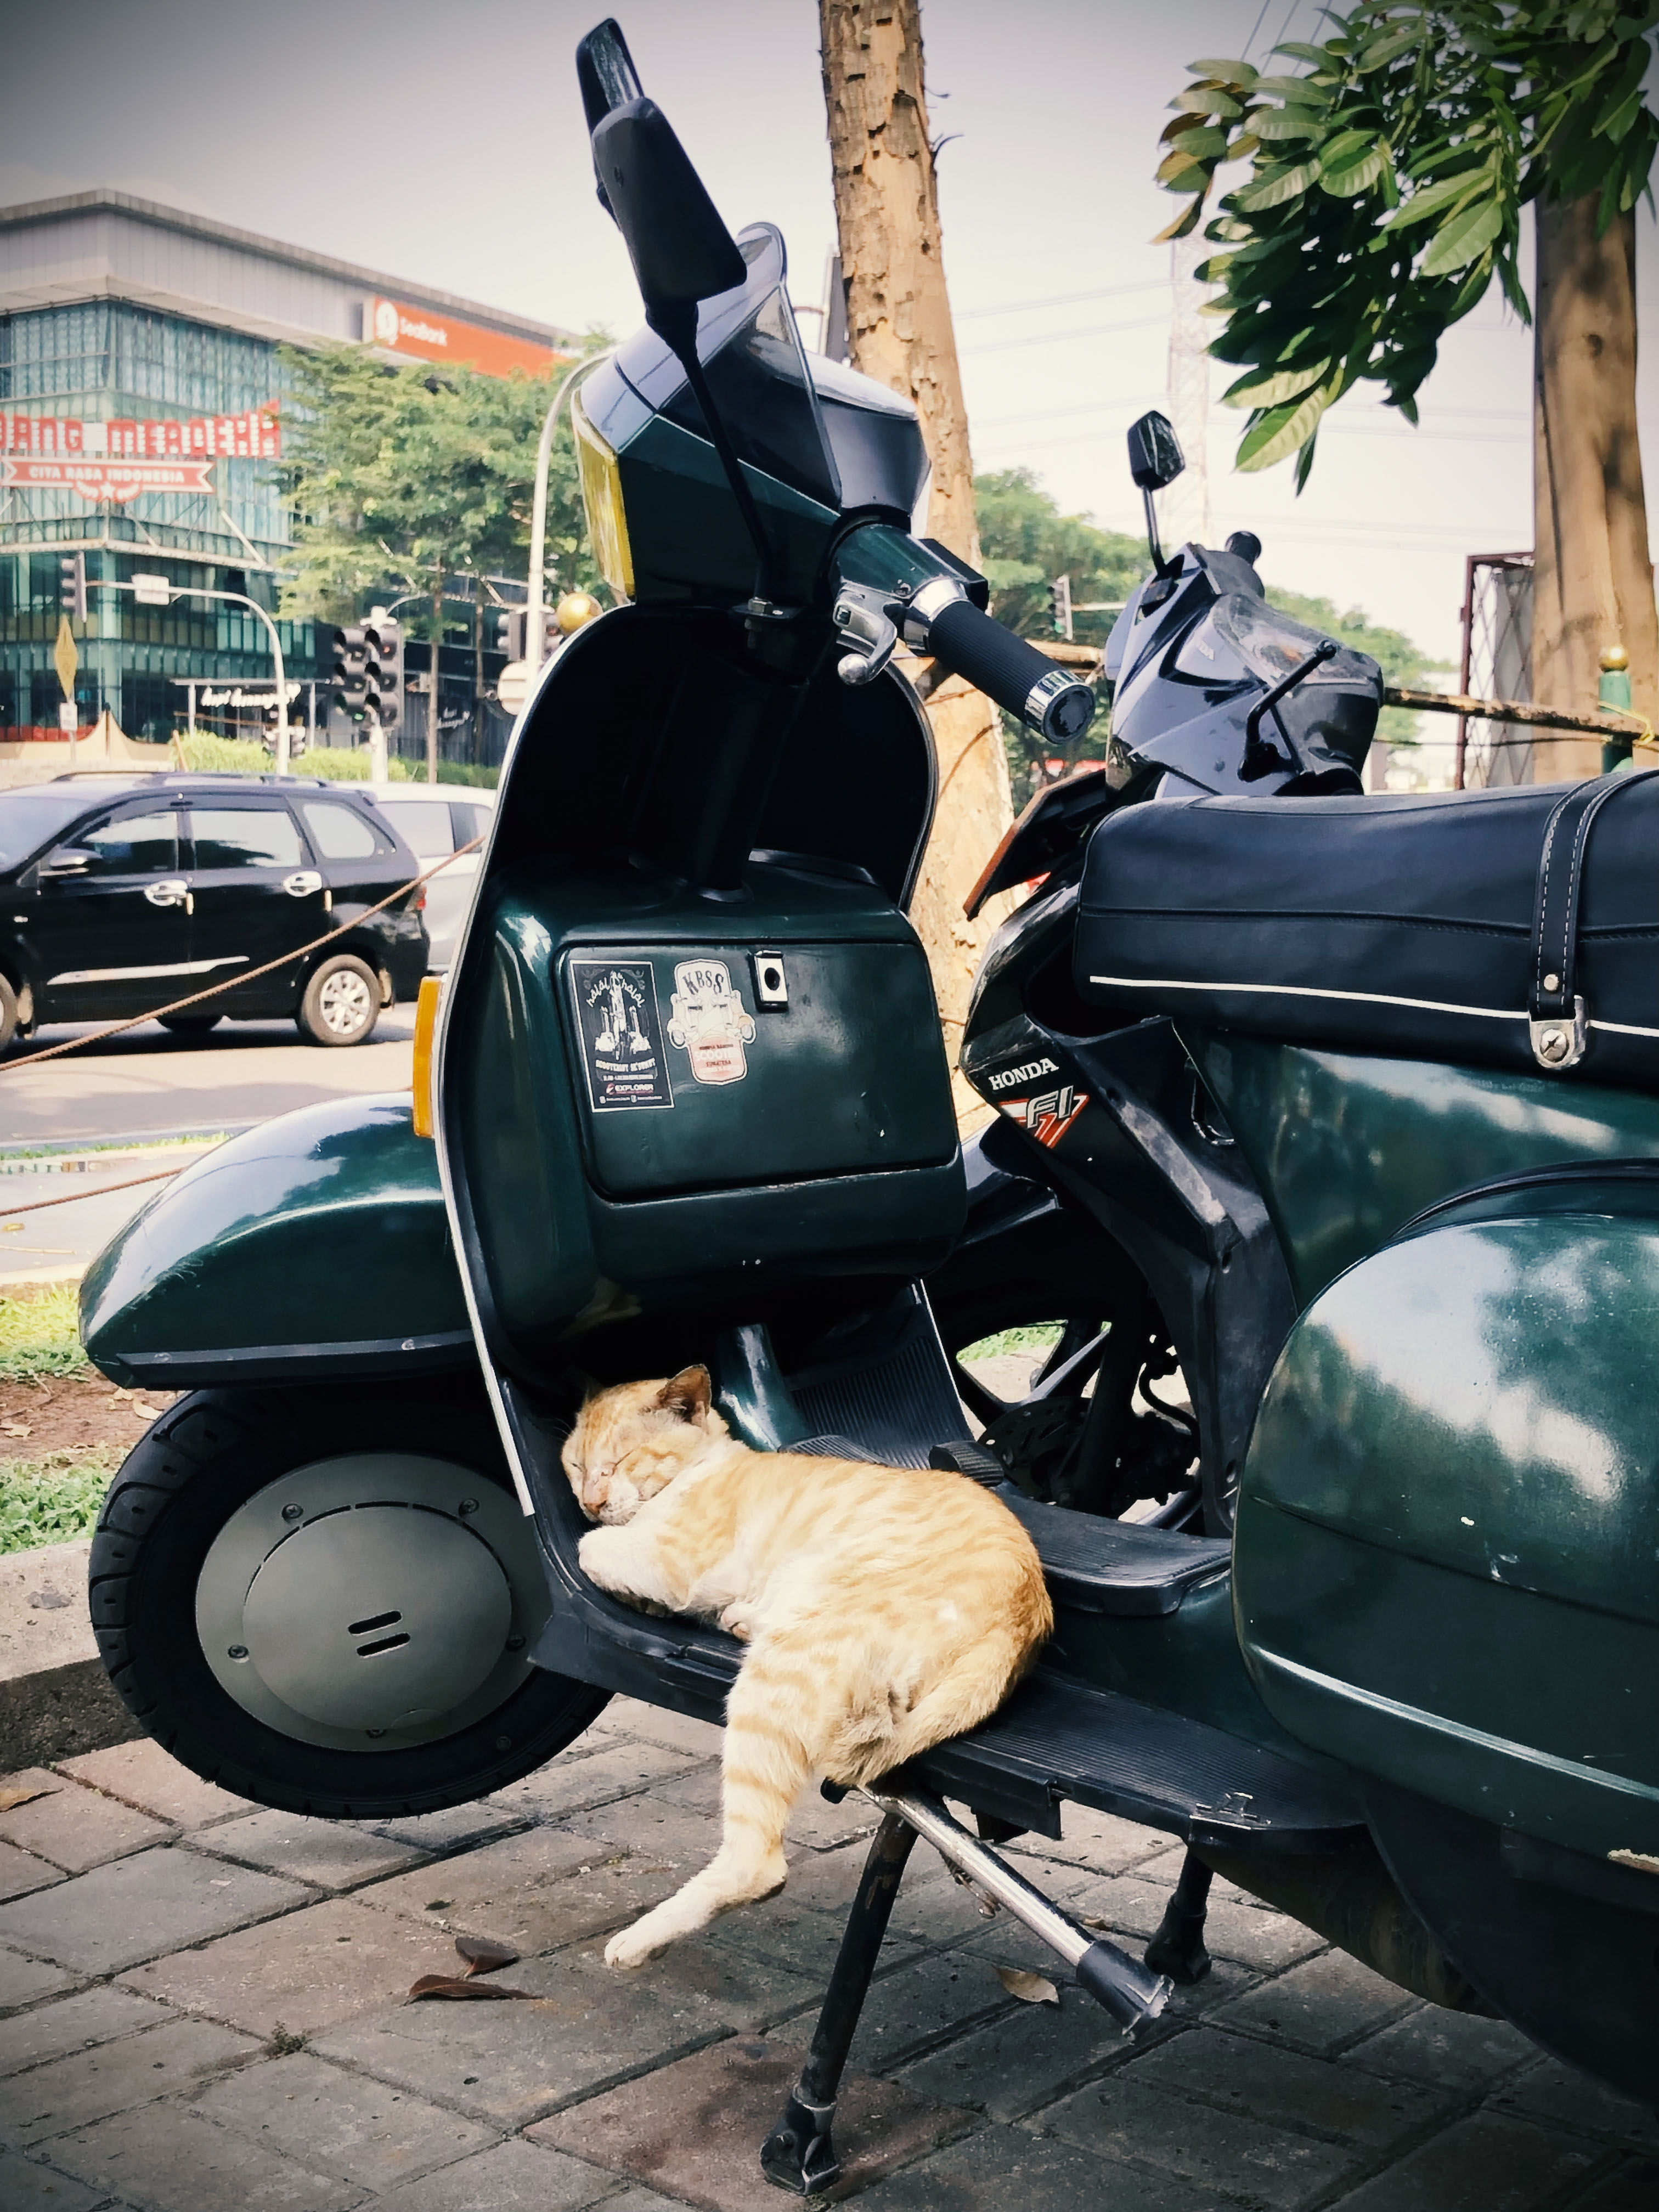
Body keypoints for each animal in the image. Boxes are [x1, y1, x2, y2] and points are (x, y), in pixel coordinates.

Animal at [563, 1364, 1053, 1969]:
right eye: (577, 1465)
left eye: (622, 1460)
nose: (590, 1500)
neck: (705, 1468)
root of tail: (1022, 1619)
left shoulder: (672, 1561)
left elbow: (593, 1546)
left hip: (778, 1668)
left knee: (760, 1866)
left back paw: (638, 1943)